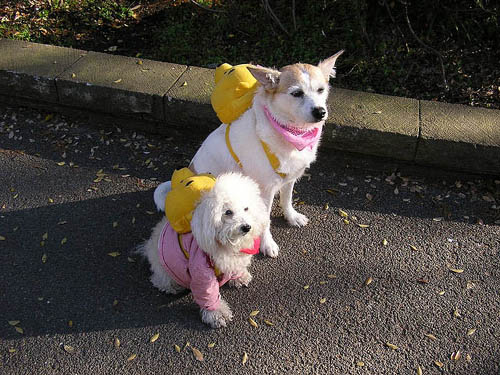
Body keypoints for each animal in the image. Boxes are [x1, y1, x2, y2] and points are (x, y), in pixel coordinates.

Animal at [137, 173, 270, 328]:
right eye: (228, 212)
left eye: (246, 208)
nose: (246, 227)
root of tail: (149, 246)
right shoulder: (201, 269)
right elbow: (208, 294)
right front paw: (217, 314)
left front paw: (239, 276)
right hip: (166, 269)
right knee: (160, 280)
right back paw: (171, 287)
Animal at [155, 51, 344, 258]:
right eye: (297, 93)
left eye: (321, 90)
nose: (320, 112)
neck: (290, 132)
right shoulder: (266, 191)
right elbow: (266, 220)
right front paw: (267, 244)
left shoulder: (290, 178)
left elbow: (286, 199)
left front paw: (291, 216)